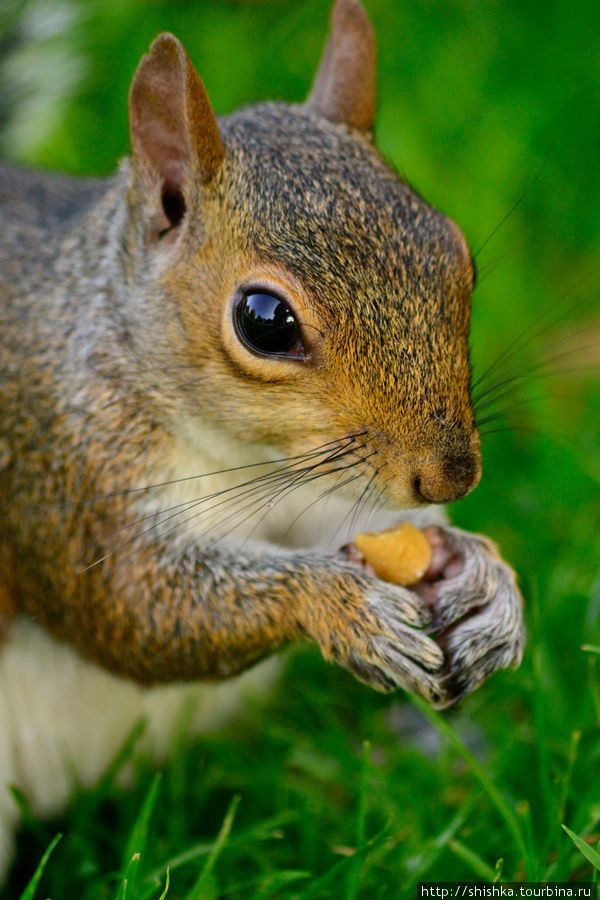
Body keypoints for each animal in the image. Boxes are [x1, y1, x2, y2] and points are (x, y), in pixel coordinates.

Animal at [0, 0, 524, 880]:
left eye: (458, 256)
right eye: (265, 322)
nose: (451, 475)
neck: (243, 456)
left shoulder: (319, 480)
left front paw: (484, 582)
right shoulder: (63, 470)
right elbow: (137, 609)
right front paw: (340, 604)